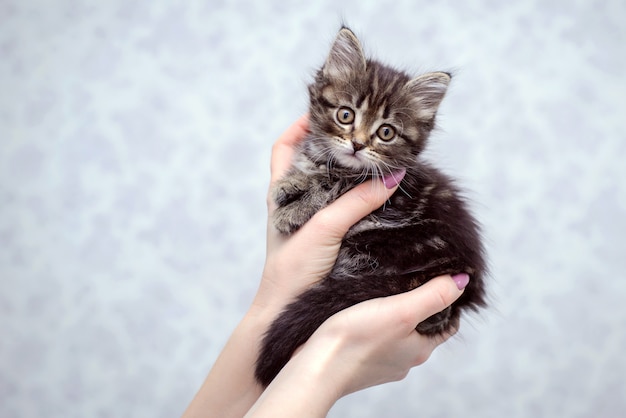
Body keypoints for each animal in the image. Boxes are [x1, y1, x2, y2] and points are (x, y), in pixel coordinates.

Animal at [255, 28, 488, 388]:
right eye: (346, 114)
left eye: (386, 132)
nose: (357, 144)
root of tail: (465, 275)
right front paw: (291, 182)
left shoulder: (389, 189)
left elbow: (332, 185)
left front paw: (293, 206)